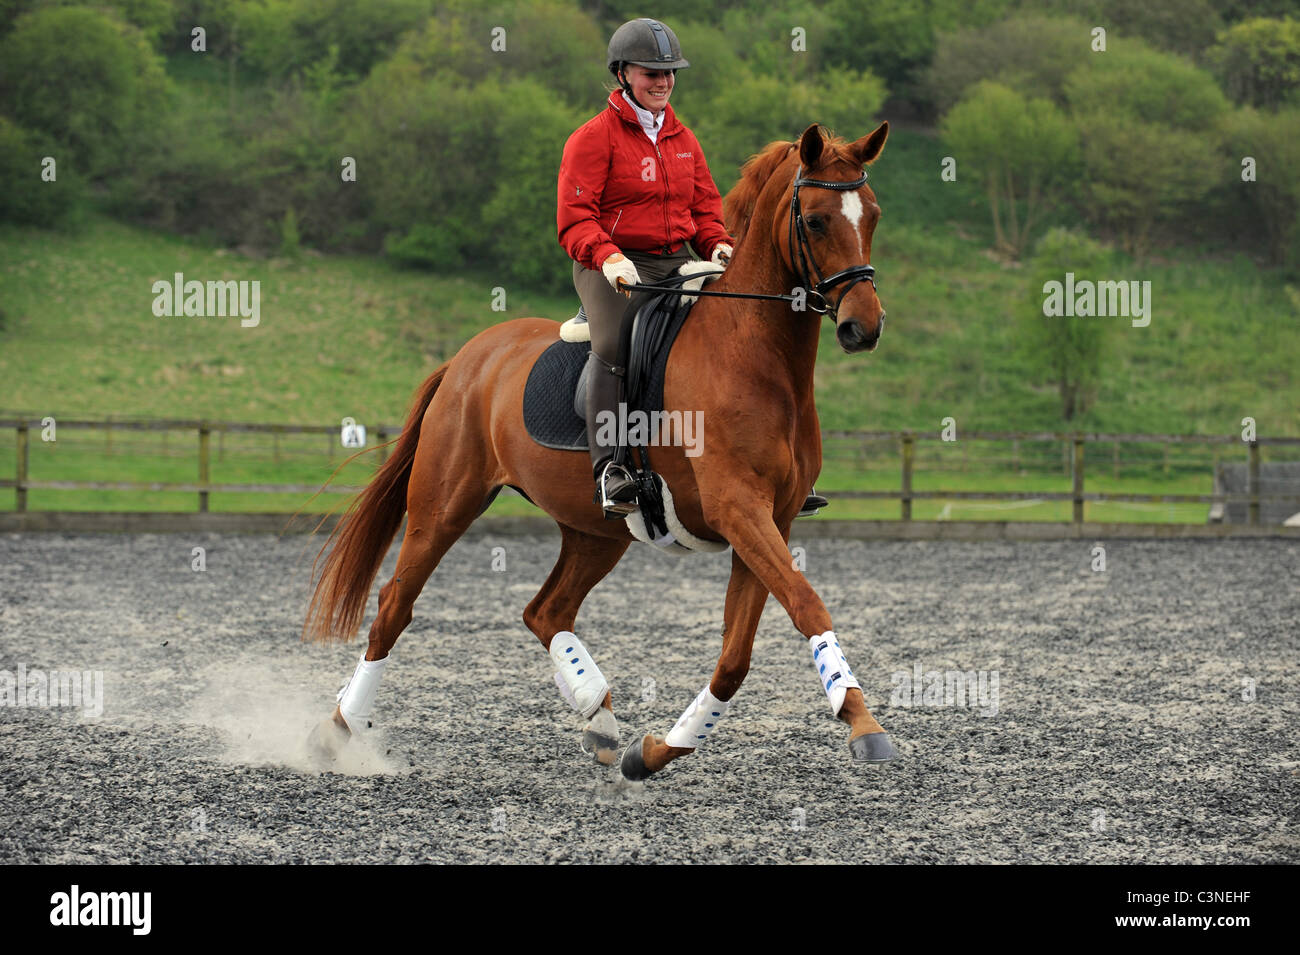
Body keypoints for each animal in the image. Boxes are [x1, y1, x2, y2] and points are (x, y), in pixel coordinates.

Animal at [301, 120, 895, 781]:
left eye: (872, 214)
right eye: (815, 221)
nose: (863, 327)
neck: (752, 354)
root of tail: (466, 358)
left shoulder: (773, 519)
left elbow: (735, 657)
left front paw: (655, 752)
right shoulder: (739, 510)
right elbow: (808, 605)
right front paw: (864, 725)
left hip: (596, 531)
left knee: (545, 611)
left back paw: (601, 719)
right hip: (444, 506)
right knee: (394, 608)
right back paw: (337, 730)